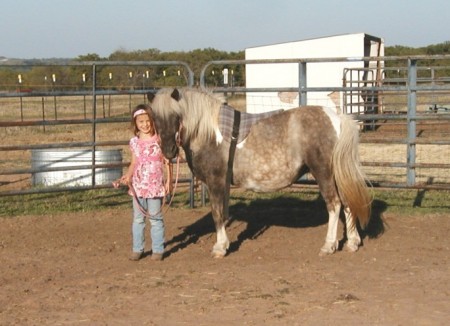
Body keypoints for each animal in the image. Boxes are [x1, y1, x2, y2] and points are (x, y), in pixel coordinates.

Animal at [148, 88, 372, 258]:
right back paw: (352, 242)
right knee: (347, 204)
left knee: (334, 205)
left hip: (323, 172)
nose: (168, 151)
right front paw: (225, 243)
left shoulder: (215, 181)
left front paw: (219, 248)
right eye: (155, 118)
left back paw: (329, 245)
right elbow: (224, 213)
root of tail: (337, 118)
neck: (210, 133)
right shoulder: (223, 184)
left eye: (176, 117)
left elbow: (217, 214)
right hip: (336, 175)